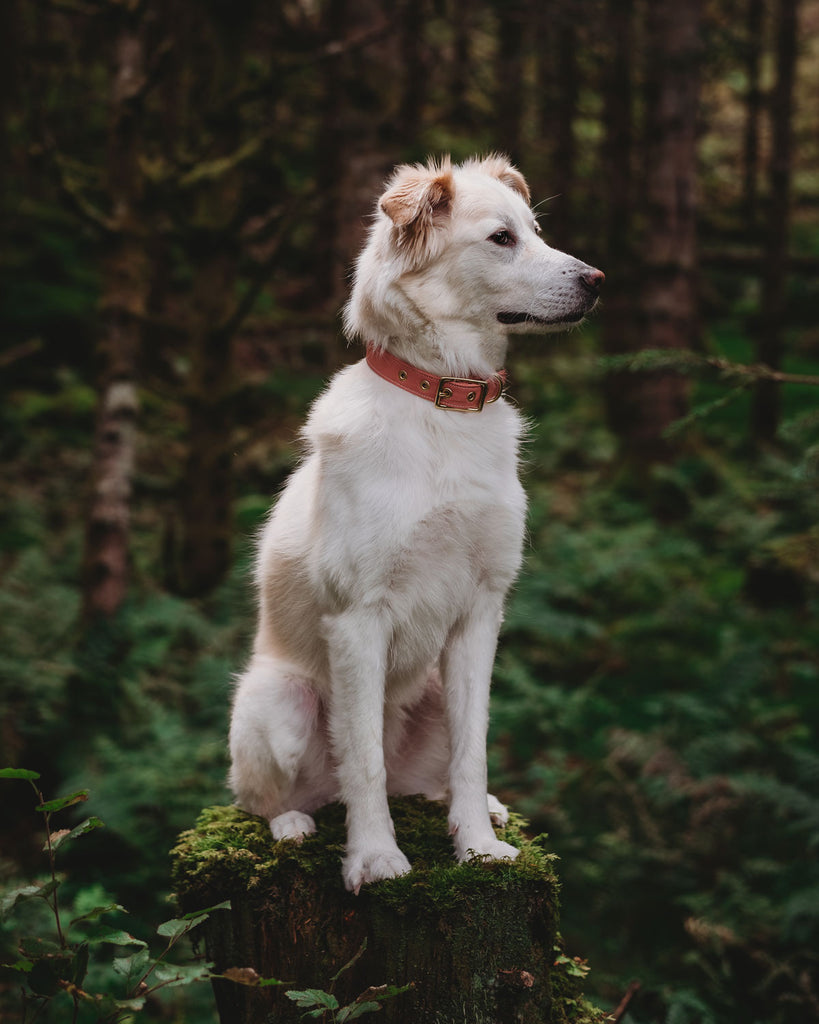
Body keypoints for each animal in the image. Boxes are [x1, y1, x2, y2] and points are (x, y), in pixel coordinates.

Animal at [230, 155, 601, 892]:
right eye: (501, 239)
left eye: (536, 232)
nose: (597, 281)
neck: (443, 408)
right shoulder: (357, 617)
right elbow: (364, 758)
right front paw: (375, 859)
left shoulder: (482, 610)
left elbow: (472, 749)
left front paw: (478, 847)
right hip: (279, 702)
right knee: (268, 797)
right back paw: (293, 823)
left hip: (428, 691)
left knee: (424, 780)